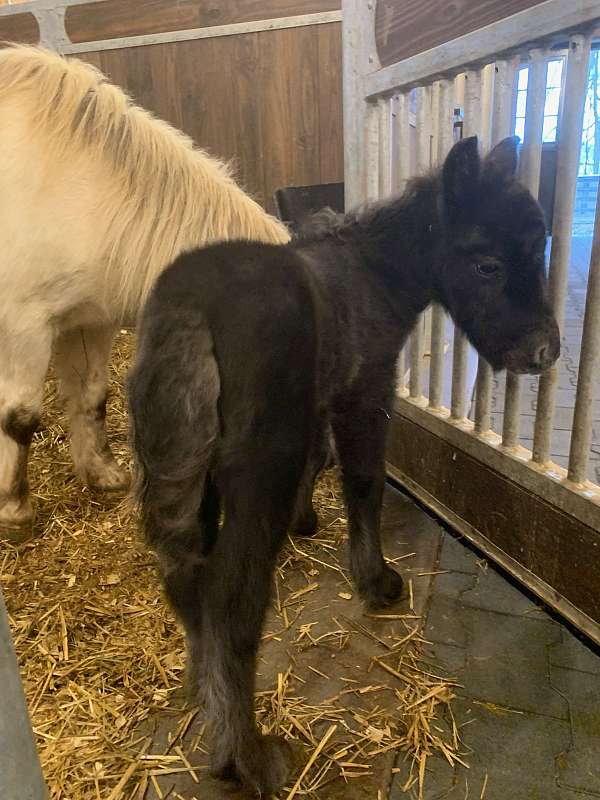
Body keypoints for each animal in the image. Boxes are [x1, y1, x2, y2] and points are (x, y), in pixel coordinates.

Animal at [0, 45, 289, 539]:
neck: (72, 190)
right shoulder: (23, 328)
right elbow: (19, 418)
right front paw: (14, 511)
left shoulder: (87, 321)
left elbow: (92, 395)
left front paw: (101, 473)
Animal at [128, 135, 559, 795]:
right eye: (488, 264)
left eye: (540, 249)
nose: (545, 352)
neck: (371, 273)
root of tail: (190, 314)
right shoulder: (368, 392)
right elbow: (362, 480)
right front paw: (376, 581)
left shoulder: (325, 400)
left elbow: (320, 457)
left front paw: (308, 521)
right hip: (254, 482)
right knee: (232, 601)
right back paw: (248, 758)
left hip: (186, 480)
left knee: (187, 582)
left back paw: (208, 704)